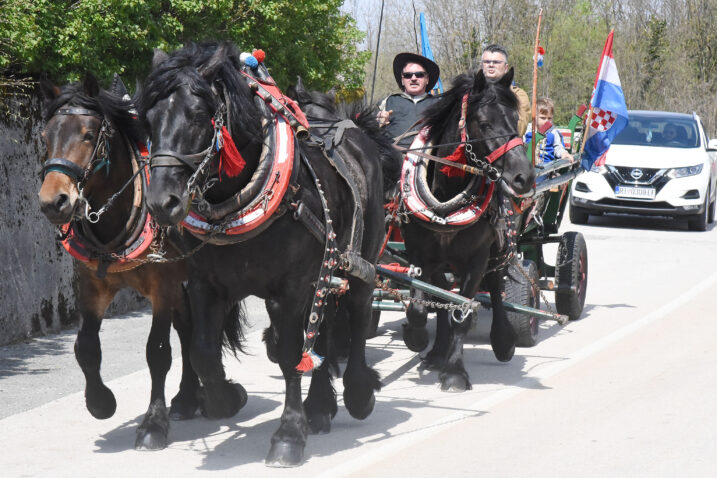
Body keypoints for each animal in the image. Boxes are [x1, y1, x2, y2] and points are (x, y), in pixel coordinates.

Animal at [37, 73, 243, 450]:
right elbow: (86, 347)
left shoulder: (162, 287)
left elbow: (157, 352)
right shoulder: (92, 287)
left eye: (88, 134)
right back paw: (187, 399)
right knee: (188, 328)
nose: (53, 201)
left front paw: (153, 424)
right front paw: (100, 403)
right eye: (45, 137)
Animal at [138, 41, 388, 466]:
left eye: (197, 116)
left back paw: (357, 393)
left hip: (360, 260)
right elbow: (204, 352)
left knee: (356, 315)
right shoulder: (205, 286)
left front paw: (289, 434)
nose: (160, 202)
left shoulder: (290, 289)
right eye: (149, 120)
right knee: (326, 330)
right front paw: (226, 399)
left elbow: (290, 354)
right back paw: (319, 406)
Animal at [398, 71, 536, 392]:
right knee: (442, 299)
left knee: (496, 289)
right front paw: (417, 337)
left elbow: (463, 311)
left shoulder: (477, 259)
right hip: (441, 263)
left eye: (517, 119)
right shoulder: (417, 254)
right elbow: (422, 306)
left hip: (498, 252)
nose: (524, 177)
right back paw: (436, 353)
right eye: (485, 124)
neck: (445, 199)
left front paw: (455, 373)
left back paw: (502, 340)